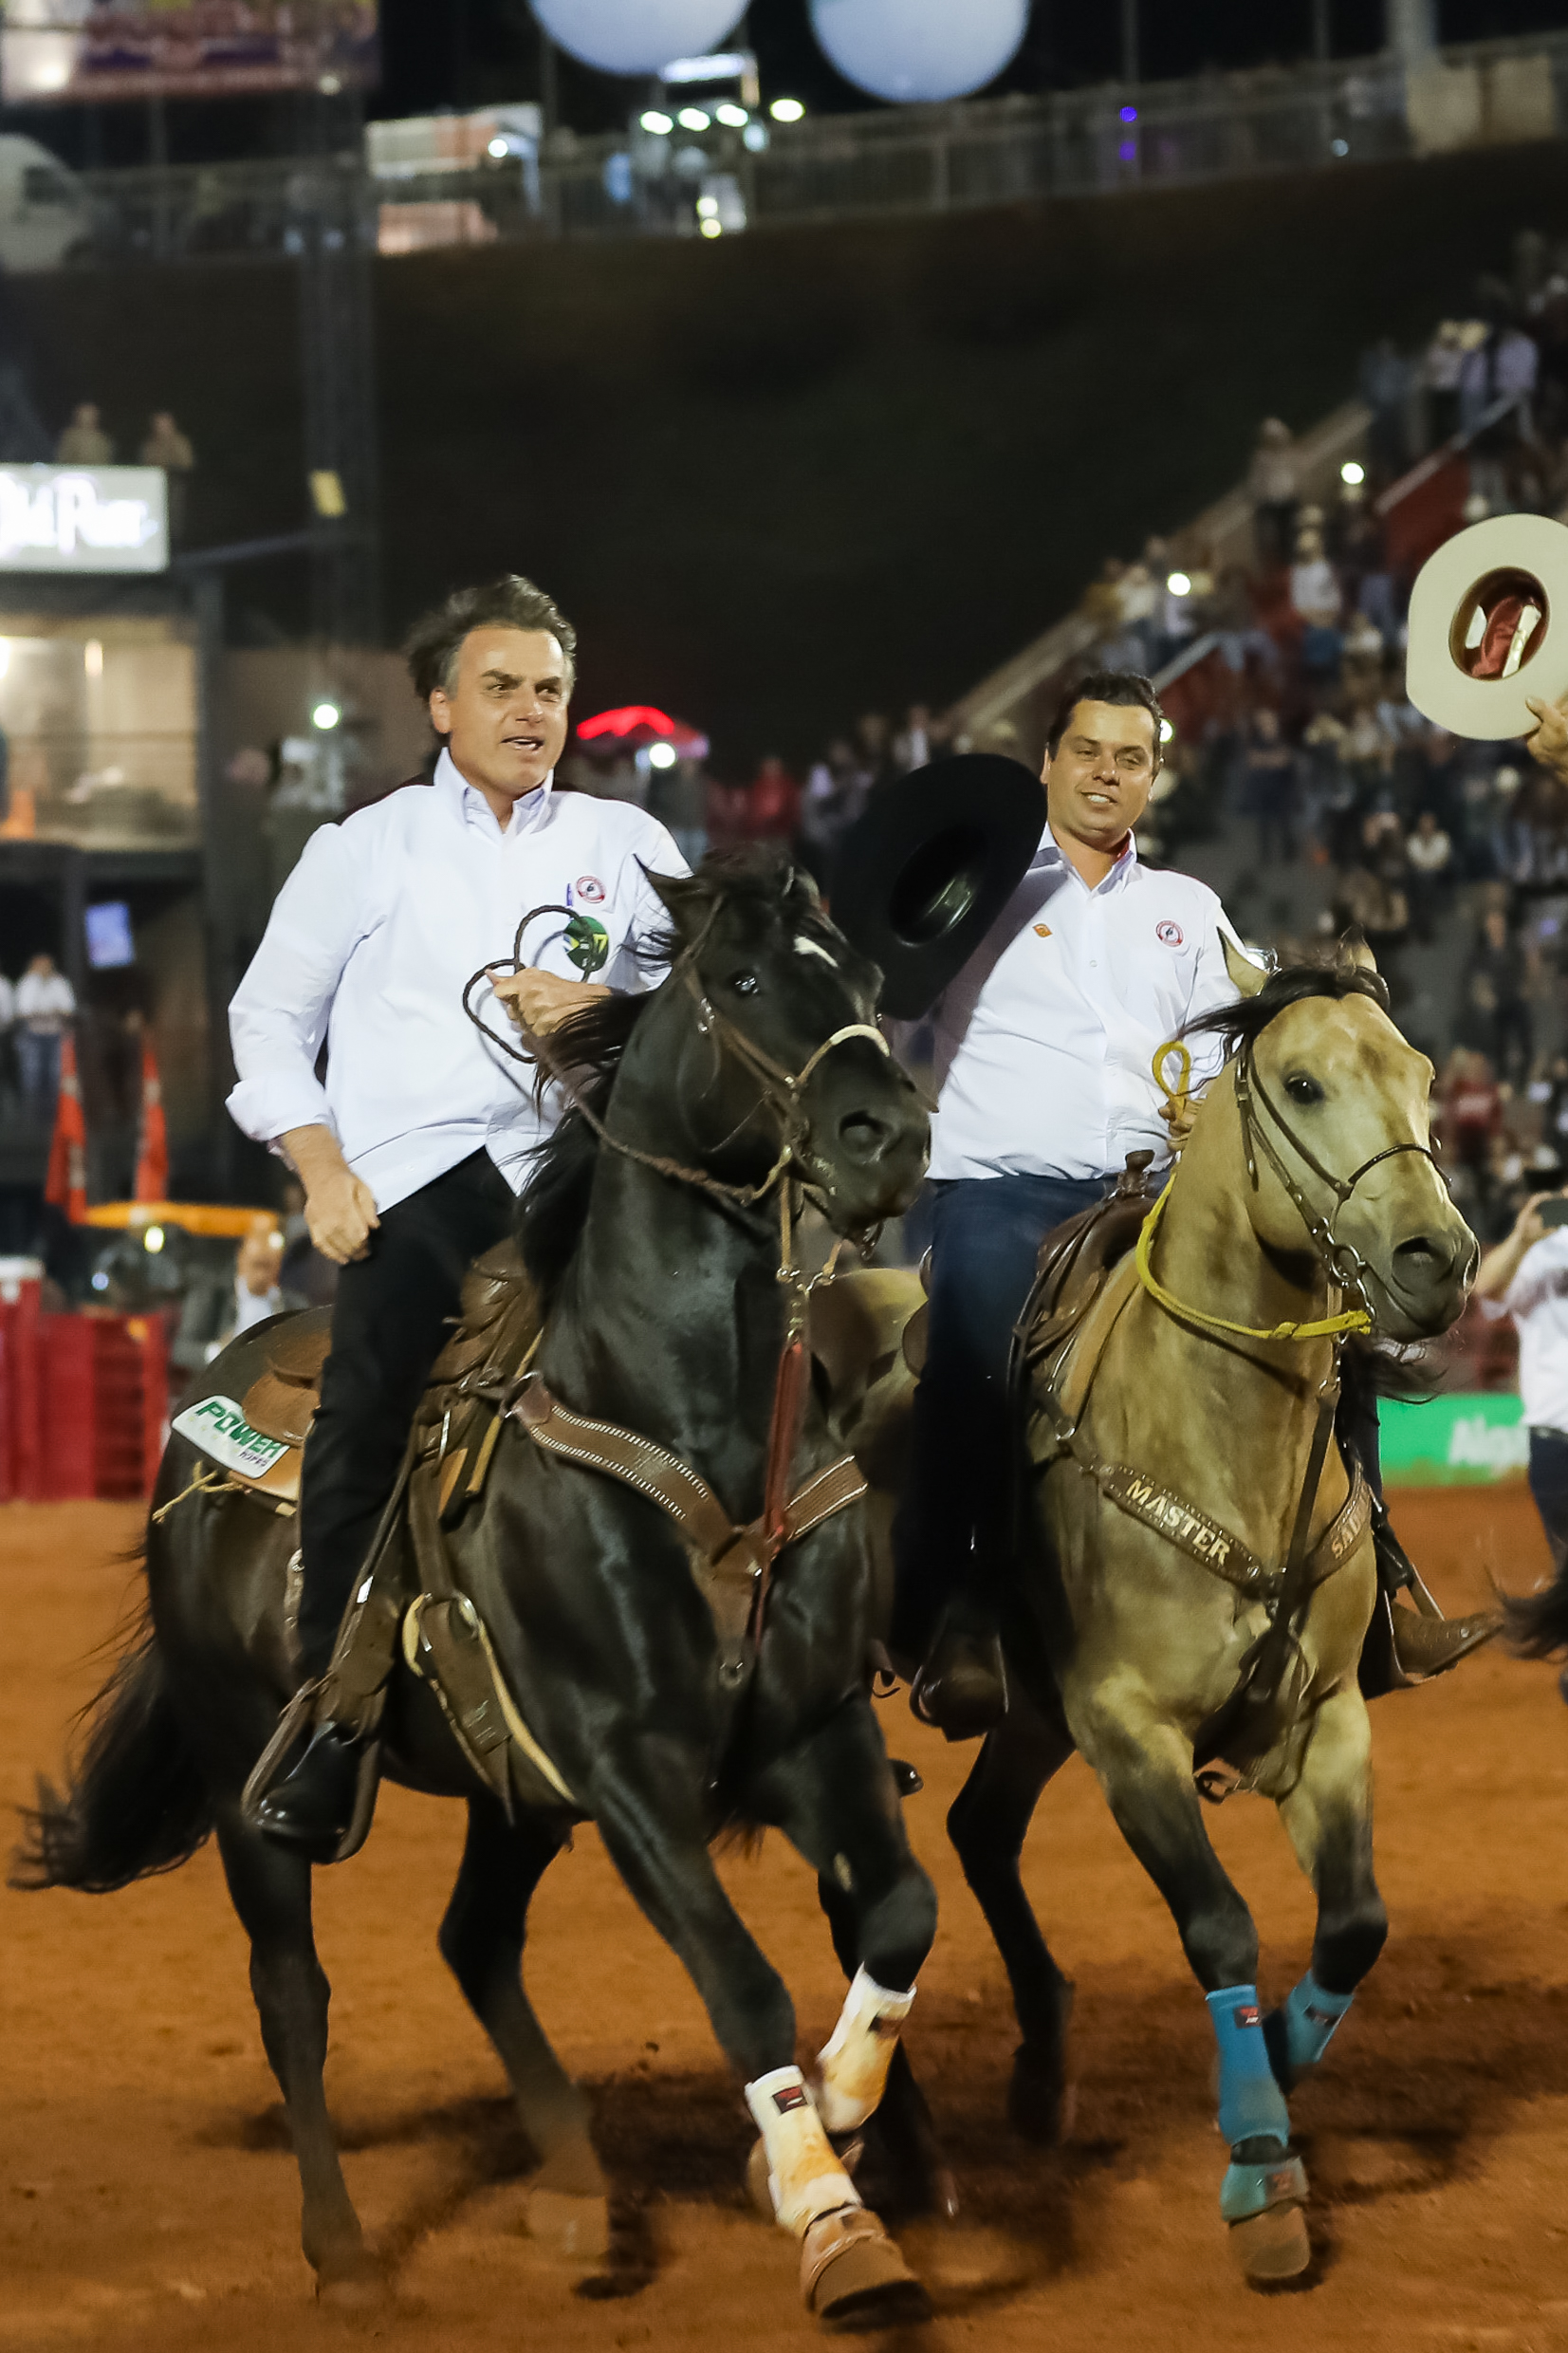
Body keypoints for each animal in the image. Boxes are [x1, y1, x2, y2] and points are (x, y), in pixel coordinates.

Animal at [15, 856, 945, 2325]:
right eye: (741, 980)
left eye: (859, 978)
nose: (887, 1136)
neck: (690, 1425)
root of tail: (202, 1401)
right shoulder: (627, 1771)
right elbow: (740, 1983)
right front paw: (826, 2212)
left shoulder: (809, 1730)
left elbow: (899, 1908)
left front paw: (838, 2114)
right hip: (243, 1776)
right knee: (293, 1994)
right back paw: (343, 2252)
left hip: (511, 1791)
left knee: (471, 1940)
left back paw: (574, 2186)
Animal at [926, 950, 1476, 2277]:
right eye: (1303, 1081)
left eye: (1423, 1072)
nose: (1440, 1256)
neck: (1224, 1434)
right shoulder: (1128, 1731)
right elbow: (1222, 1925)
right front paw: (1262, 2164)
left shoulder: (1326, 1720)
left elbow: (1356, 1924)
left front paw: (1271, 2062)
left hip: (1033, 1718)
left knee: (978, 1830)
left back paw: (1041, 2074)